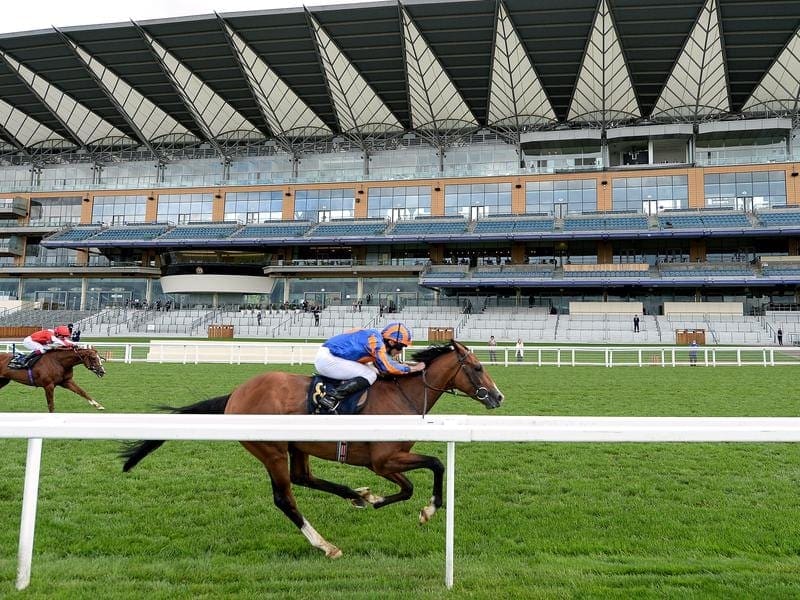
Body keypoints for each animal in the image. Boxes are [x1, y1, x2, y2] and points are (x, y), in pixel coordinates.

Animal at [120, 340, 500, 560]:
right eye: (478, 367)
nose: (498, 396)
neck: (401, 396)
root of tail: (235, 395)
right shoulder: (382, 460)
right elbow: (435, 465)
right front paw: (428, 510)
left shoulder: (383, 462)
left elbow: (408, 487)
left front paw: (375, 499)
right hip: (271, 450)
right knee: (285, 497)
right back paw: (325, 544)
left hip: (296, 444)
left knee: (303, 478)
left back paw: (356, 496)